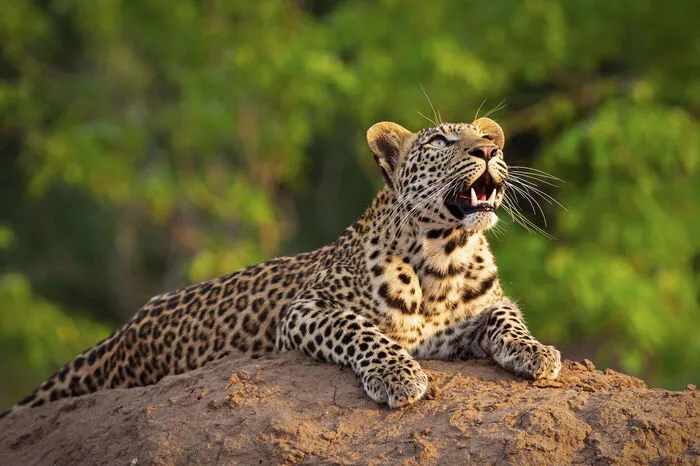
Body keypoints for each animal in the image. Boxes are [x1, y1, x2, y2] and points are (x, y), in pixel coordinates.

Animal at [3, 116, 561, 416]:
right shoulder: (305, 310)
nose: (490, 148)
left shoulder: (481, 309)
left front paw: (536, 353)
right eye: (442, 142)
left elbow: (506, 316)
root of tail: (124, 331)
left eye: (487, 141)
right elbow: (361, 331)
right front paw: (399, 374)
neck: (444, 257)